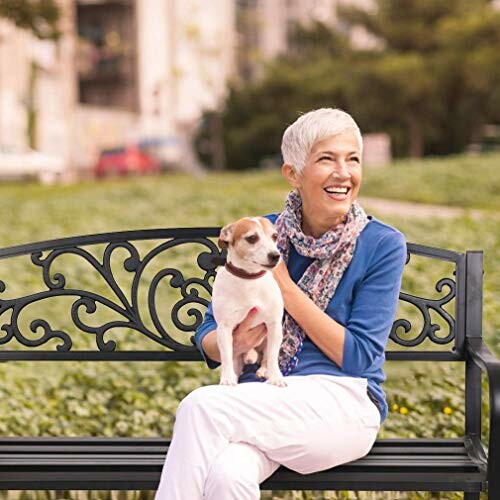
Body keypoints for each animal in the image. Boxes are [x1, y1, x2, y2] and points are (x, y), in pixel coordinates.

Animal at [212, 216, 288, 386]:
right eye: (252, 238)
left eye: (275, 236)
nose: (275, 255)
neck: (249, 278)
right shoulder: (224, 329)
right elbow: (226, 358)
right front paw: (227, 378)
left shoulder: (274, 326)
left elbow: (273, 357)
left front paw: (276, 377)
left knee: (266, 357)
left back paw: (263, 370)